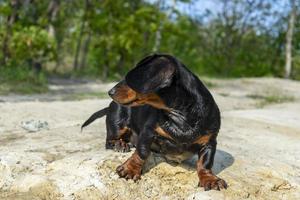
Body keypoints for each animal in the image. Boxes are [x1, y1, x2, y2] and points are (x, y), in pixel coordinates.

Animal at [82, 53, 227, 191]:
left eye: (131, 78)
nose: (110, 92)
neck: (180, 116)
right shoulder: (148, 132)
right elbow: (142, 152)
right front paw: (130, 169)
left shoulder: (209, 142)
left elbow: (205, 163)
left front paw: (210, 179)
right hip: (117, 122)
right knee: (109, 141)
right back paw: (120, 144)